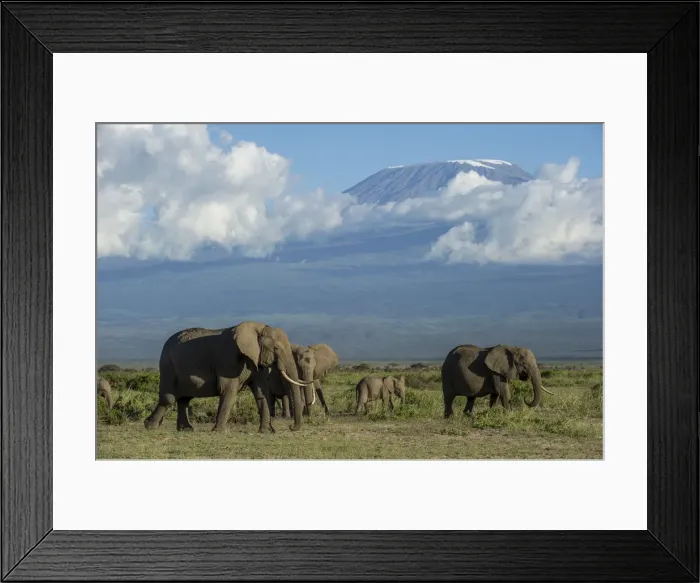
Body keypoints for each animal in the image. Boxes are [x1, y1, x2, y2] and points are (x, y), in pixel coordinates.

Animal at [143, 321, 315, 433]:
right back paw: (150, 426)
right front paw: (219, 431)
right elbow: (228, 391)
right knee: (169, 397)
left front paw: (266, 431)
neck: (257, 328)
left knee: (184, 399)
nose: (291, 427)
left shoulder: (255, 359)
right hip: (167, 364)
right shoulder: (229, 360)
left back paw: (186, 430)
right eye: (276, 348)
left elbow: (261, 393)